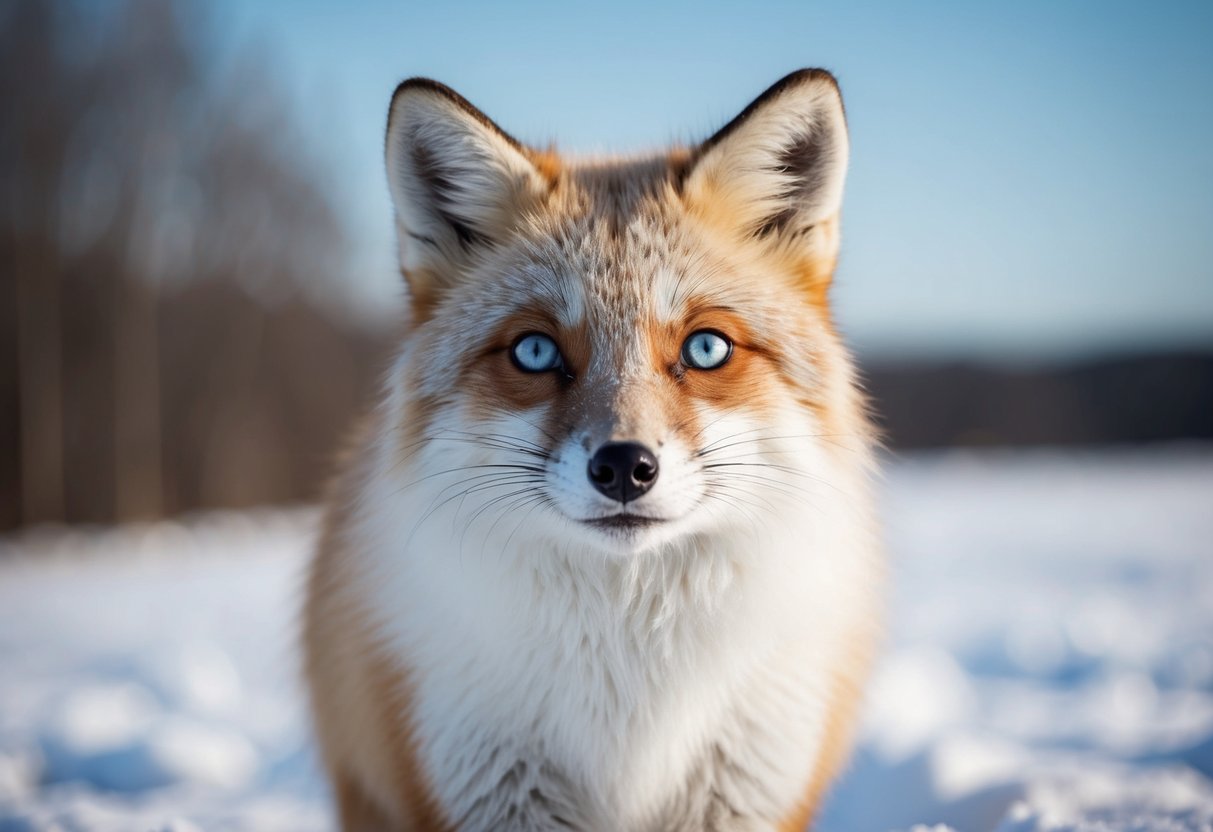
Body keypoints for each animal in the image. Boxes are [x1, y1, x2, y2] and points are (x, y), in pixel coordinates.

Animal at [304, 69, 882, 832]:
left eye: (705, 347)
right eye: (535, 351)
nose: (624, 468)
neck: (630, 690)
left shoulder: (741, 787)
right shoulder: (489, 783)